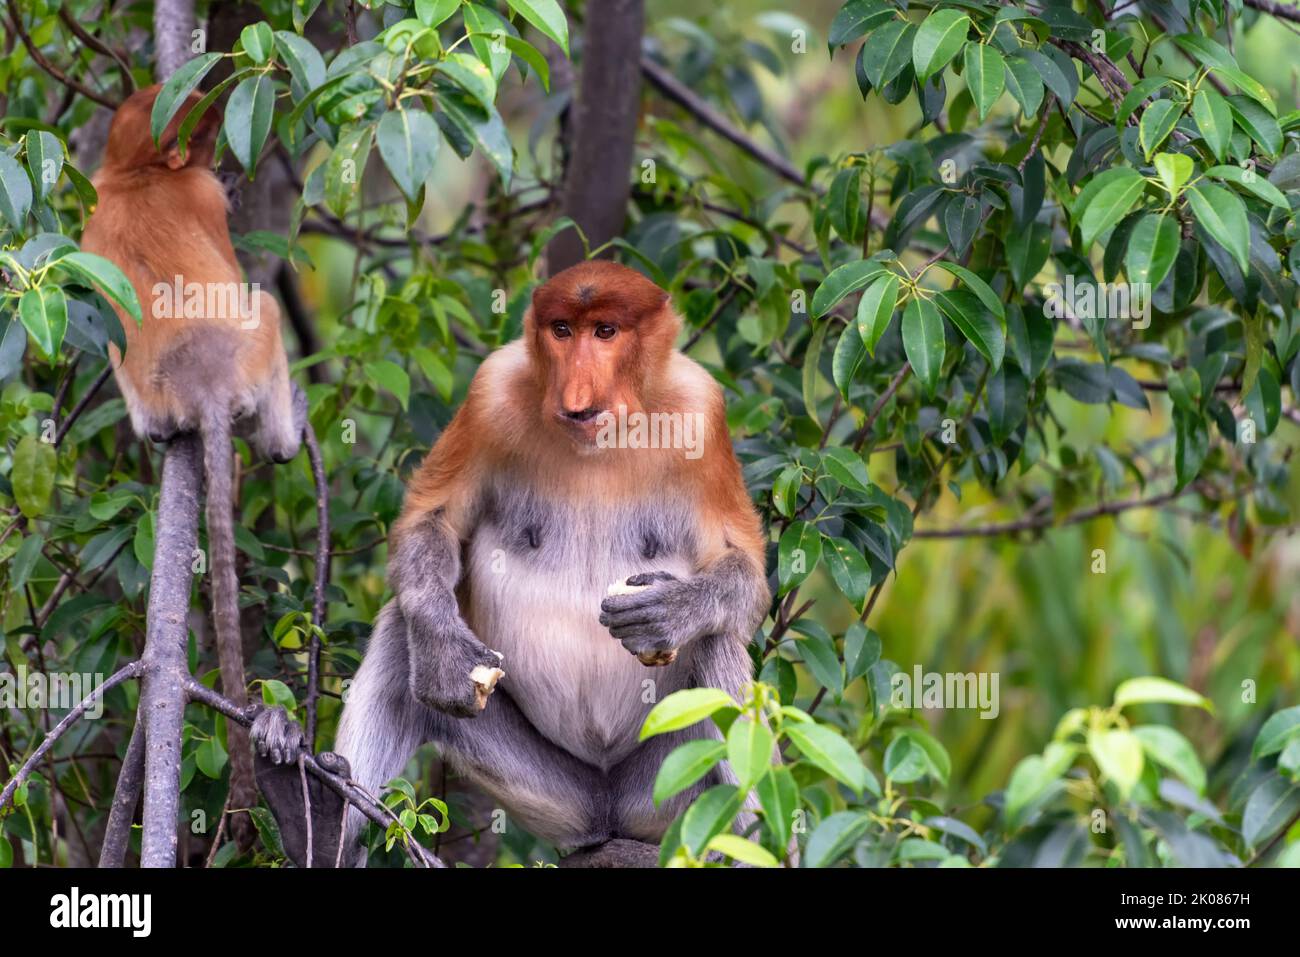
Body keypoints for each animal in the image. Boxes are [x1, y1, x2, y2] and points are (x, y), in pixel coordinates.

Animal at [81, 85, 306, 846]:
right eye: (203, 130)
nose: (212, 144)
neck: (135, 175)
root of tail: (203, 379)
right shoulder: (202, 198)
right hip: (258, 345)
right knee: (265, 304)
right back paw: (286, 433)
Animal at [253, 260, 771, 865]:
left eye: (606, 332)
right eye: (562, 330)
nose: (575, 391)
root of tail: (608, 811)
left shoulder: (701, 411)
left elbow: (744, 568)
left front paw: (669, 610)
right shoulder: (490, 391)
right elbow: (432, 520)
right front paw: (444, 655)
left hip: (666, 789)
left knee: (717, 642)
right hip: (556, 793)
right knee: (400, 629)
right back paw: (314, 819)